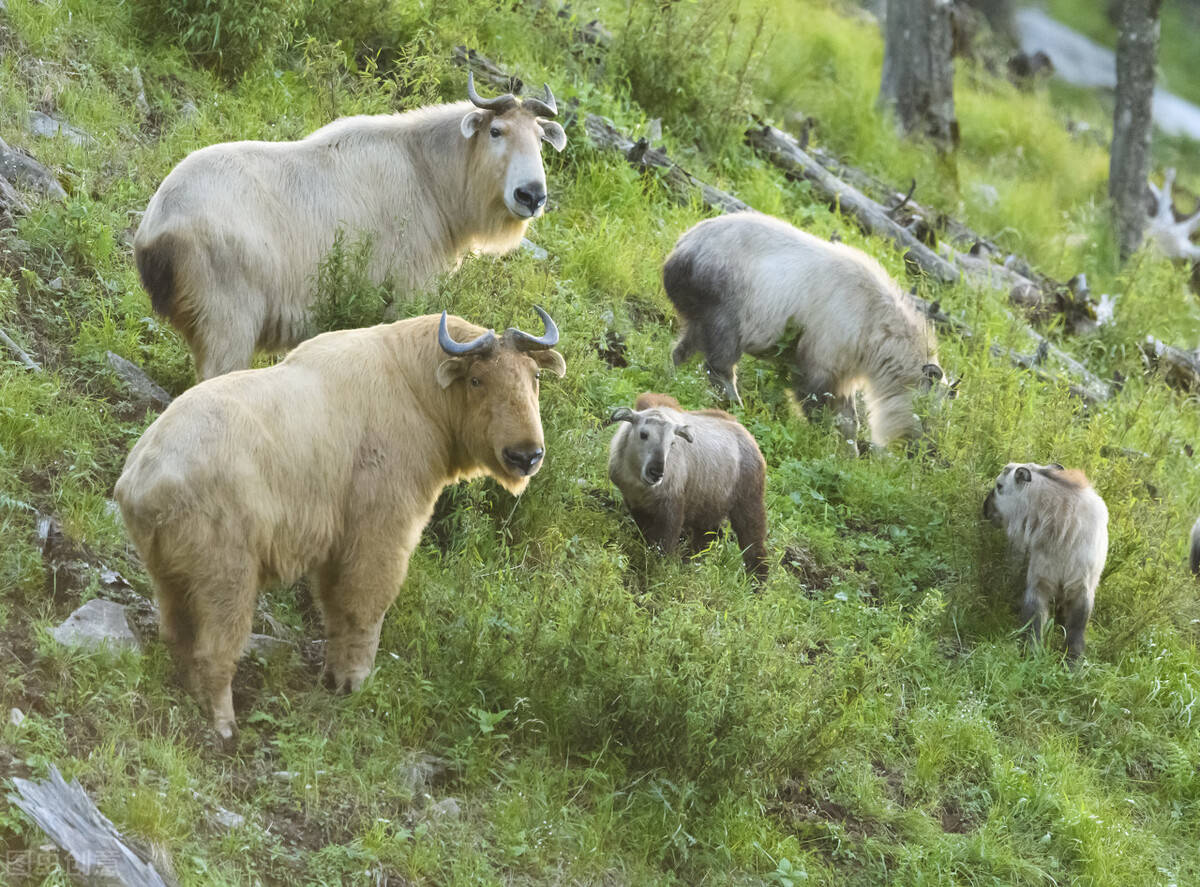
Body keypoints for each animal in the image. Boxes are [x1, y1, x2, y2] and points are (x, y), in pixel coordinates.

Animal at [114, 309, 564, 739]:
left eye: (534, 376)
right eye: (476, 379)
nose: (526, 455)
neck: (415, 389)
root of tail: (142, 481)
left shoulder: (336, 542)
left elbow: (333, 606)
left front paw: (333, 675)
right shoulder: (380, 531)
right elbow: (364, 604)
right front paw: (356, 682)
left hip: (169, 573)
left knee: (175, 632)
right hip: (225, 571)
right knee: (215, 648)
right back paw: (224, 723)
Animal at [609, 391, 768, 578]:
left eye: (672, 442)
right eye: (643, 434)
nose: (656, 473)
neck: (637, 480)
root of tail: (752, 442)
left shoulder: (673, 506)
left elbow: (666, 545)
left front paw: (662, 570)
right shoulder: (634, 501)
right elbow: (649, 537)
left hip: (748, 502)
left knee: (754, 545)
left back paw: (756, 581)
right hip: (709, 506)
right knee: (708, 538)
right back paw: (692, 565)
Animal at [662, 212, 950, 451]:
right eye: (928, 414)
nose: (928, 450)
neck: (875, 325)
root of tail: (681, 249)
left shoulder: (841, 372)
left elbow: (849, 422)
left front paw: (849, 455)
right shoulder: (818, 362)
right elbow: (818, 409)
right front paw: (822, 443)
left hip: (701, 318)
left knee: (681, 352)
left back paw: (672, 383)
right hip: (726, 316)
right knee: (719, 367)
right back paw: (735, 407)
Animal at [984, 465, 1104, 657]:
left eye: (999, 486)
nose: (984, 509)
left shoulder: (1081, 589)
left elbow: (1075, 631)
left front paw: (1072, 661)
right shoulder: (1040, 583)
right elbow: (1034, 624)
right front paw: (1032, 655)